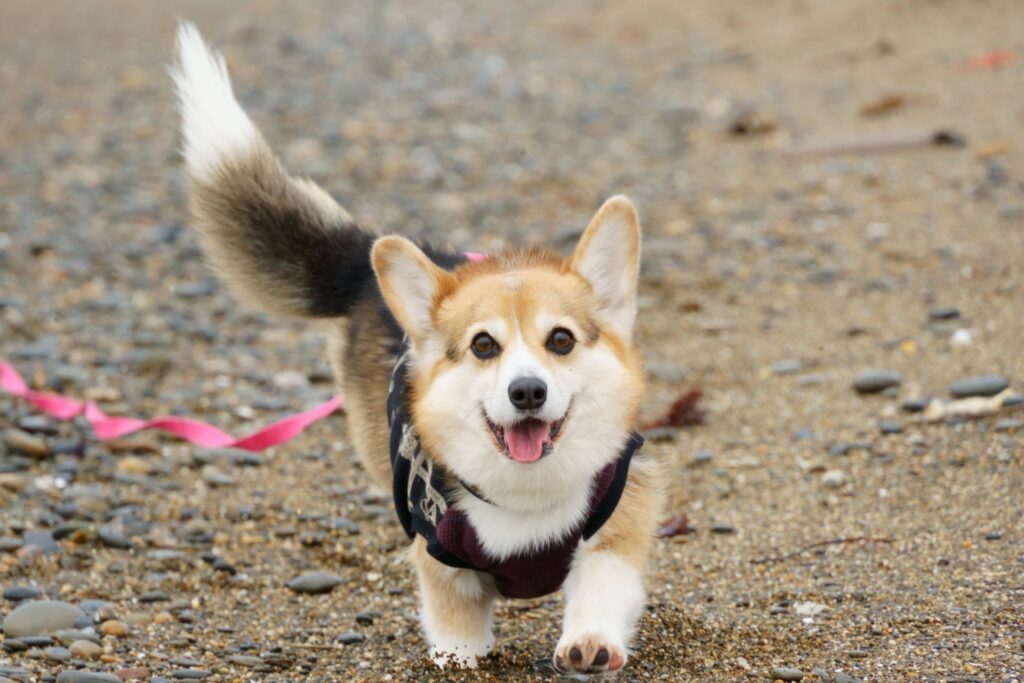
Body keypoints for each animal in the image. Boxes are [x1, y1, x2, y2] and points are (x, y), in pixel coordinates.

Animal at [169, 22, 663, 679]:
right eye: (483, 345)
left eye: (561, 340)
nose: (527, 392)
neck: (526, 495)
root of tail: (362, 269)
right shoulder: (438, 552)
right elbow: (454, 618)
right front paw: (460, 656)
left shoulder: (617, 526)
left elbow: (601, 588)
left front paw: (590, 643)